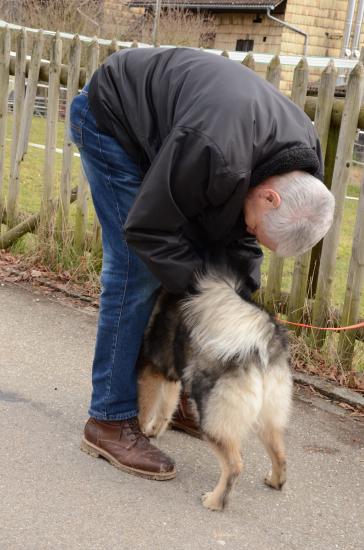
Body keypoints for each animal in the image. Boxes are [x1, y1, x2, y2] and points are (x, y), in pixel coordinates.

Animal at [137, 270, 292, 512]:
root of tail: (262, 347)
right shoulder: (172, 375)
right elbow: (165, 408)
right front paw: (154, 431)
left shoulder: (151, 370)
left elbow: (145, 408)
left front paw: (141, 432)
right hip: (269, 416)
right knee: (280, 452)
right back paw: (276, 481)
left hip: (212, 416)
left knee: (234, 465)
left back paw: (215, 500)